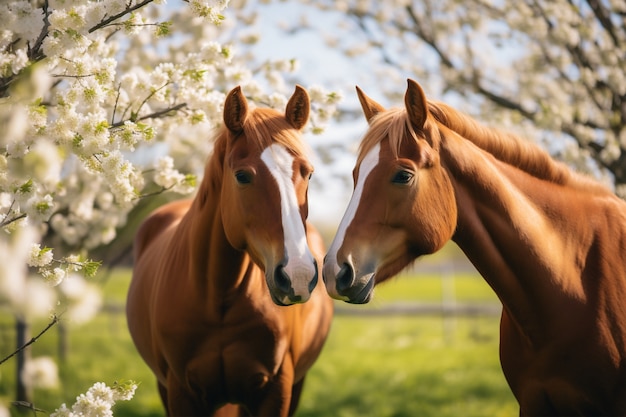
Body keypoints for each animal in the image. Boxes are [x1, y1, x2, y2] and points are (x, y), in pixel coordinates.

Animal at [124, 84, 334, 416]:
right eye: (242, 176)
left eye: (308, 173)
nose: (297, 275)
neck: (218, 298)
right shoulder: (181, 391)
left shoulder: (278, 389)